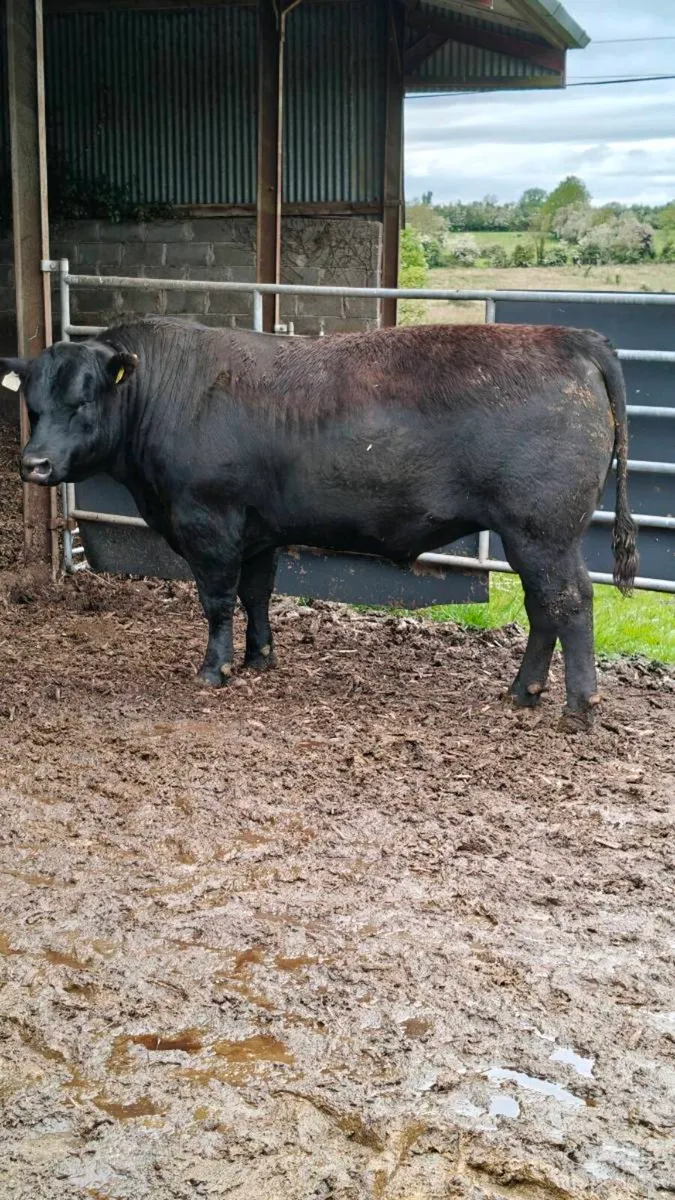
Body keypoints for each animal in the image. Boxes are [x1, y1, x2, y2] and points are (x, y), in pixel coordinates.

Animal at [2, 318, 637, 730]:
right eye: (33, 404)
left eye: (83, 401)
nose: (35, 464)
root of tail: (570, 338)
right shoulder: (257, 530)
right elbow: (256, 594)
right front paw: (260, 657)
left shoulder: (209, 523)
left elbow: (217, 600)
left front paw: (215, 668)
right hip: (531, 536)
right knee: (543, 605)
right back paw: (522, 692)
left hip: (543, 529)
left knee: (570, 601)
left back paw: (578, 708)